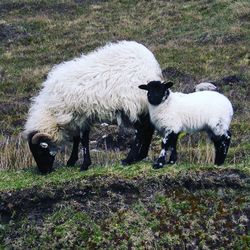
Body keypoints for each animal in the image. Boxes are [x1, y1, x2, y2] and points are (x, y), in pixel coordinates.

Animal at [24, 41, 163, 174]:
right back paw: (140, 156)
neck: (51, 111)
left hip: (132, 103)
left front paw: (84, 165)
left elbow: (83, 140)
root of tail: (150, 62)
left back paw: (129, 159)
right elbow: (77, 139)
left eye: (39, 151)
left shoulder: (81, 115)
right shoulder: (78, 117)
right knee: (148, 127)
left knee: (140, 130)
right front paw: (72, 161)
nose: (44, 171)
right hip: (143, 105)